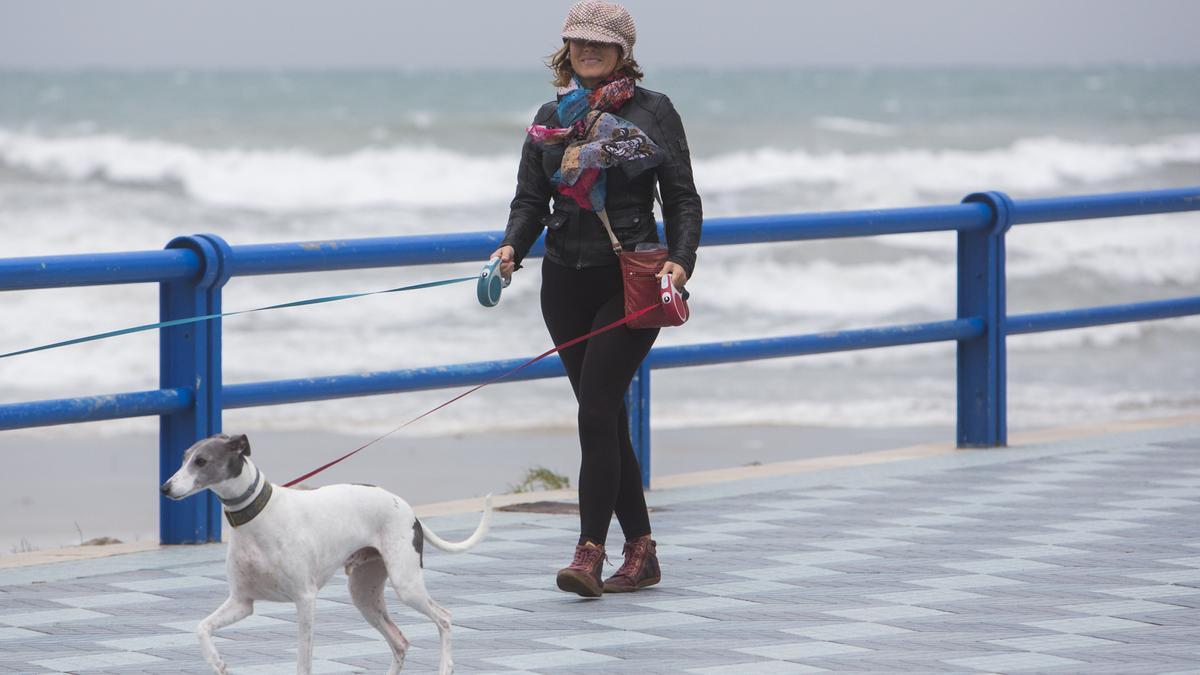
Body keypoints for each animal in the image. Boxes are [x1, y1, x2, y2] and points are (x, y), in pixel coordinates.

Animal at [160, 432, 492, 667]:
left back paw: (446, 665)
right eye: (184, 458)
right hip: (364, 594)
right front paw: (216, 662)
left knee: (444, 618)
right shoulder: (242, 602)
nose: (165, 488)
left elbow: (303, 660)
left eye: (201, 461)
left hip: (405, 583)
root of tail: (409, 509)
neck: (258, 516)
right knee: (400, 642)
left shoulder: (305, 600)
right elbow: (201, 628)